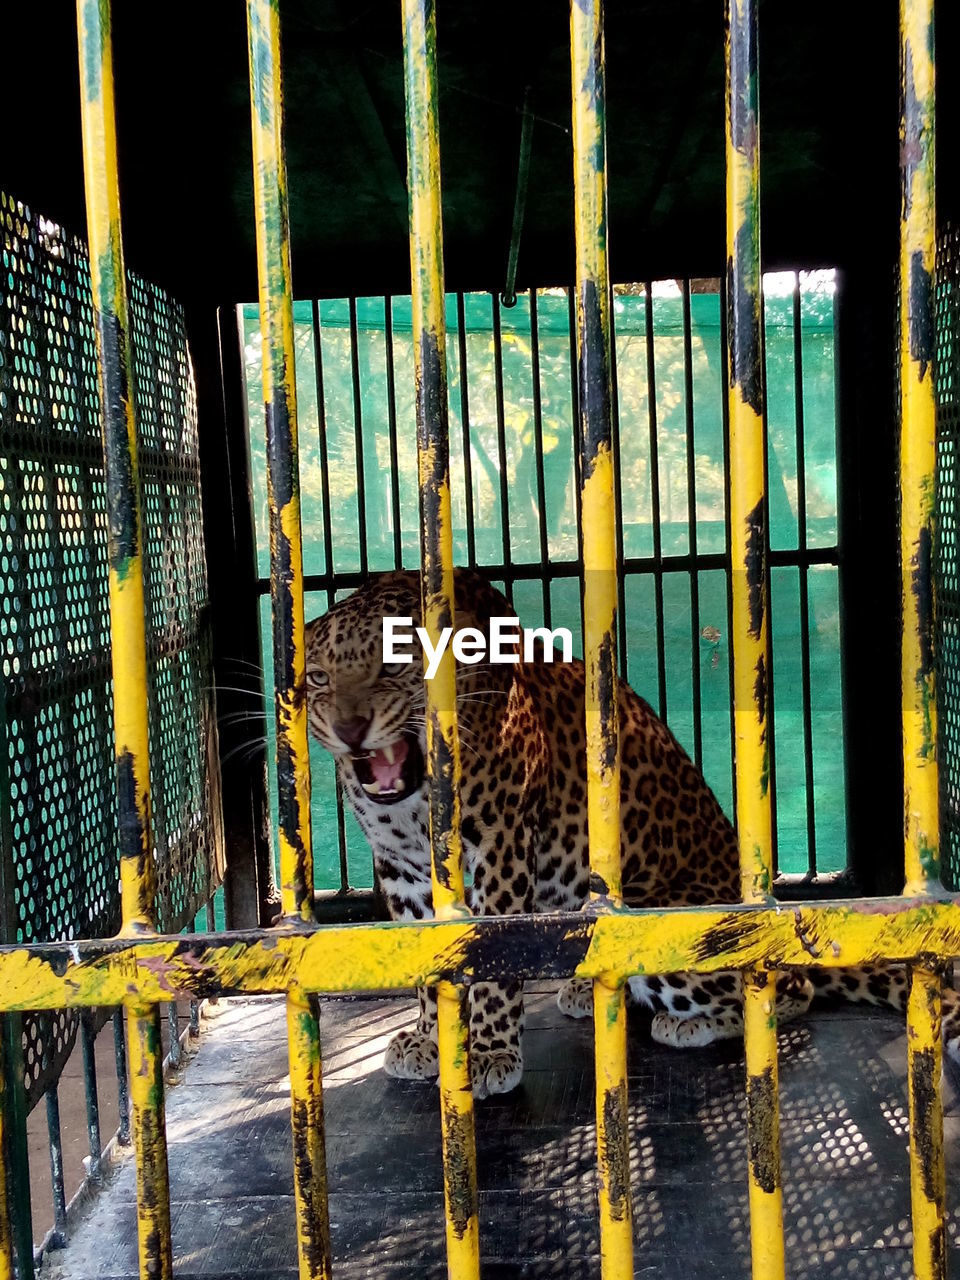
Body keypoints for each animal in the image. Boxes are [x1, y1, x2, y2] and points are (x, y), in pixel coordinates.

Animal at [302, 570, 960, 1100]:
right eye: (317, 679)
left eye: (393, 663)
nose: (352, 729)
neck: (413, 806)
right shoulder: (403, 868)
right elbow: (424, 956)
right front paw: (429, 1037)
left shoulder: (500, 844)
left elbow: (491, 958)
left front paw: (488, 1052)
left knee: (786, 990)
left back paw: (687, 1021)